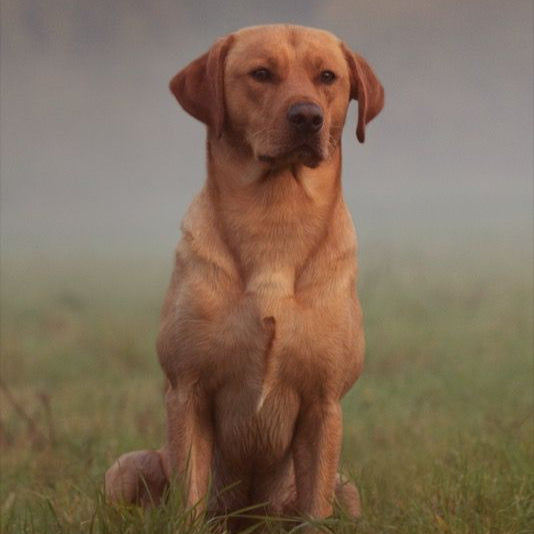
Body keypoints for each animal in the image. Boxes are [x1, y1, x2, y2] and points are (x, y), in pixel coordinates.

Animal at [104, 23, 384, 528]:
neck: (274, 218)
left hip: (348, 489)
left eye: (328, 76)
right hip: (126, 466)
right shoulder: (188, 390)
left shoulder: (324, 404)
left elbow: (315, 510)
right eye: (261, 74)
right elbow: (190, 498)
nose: (307, 116)